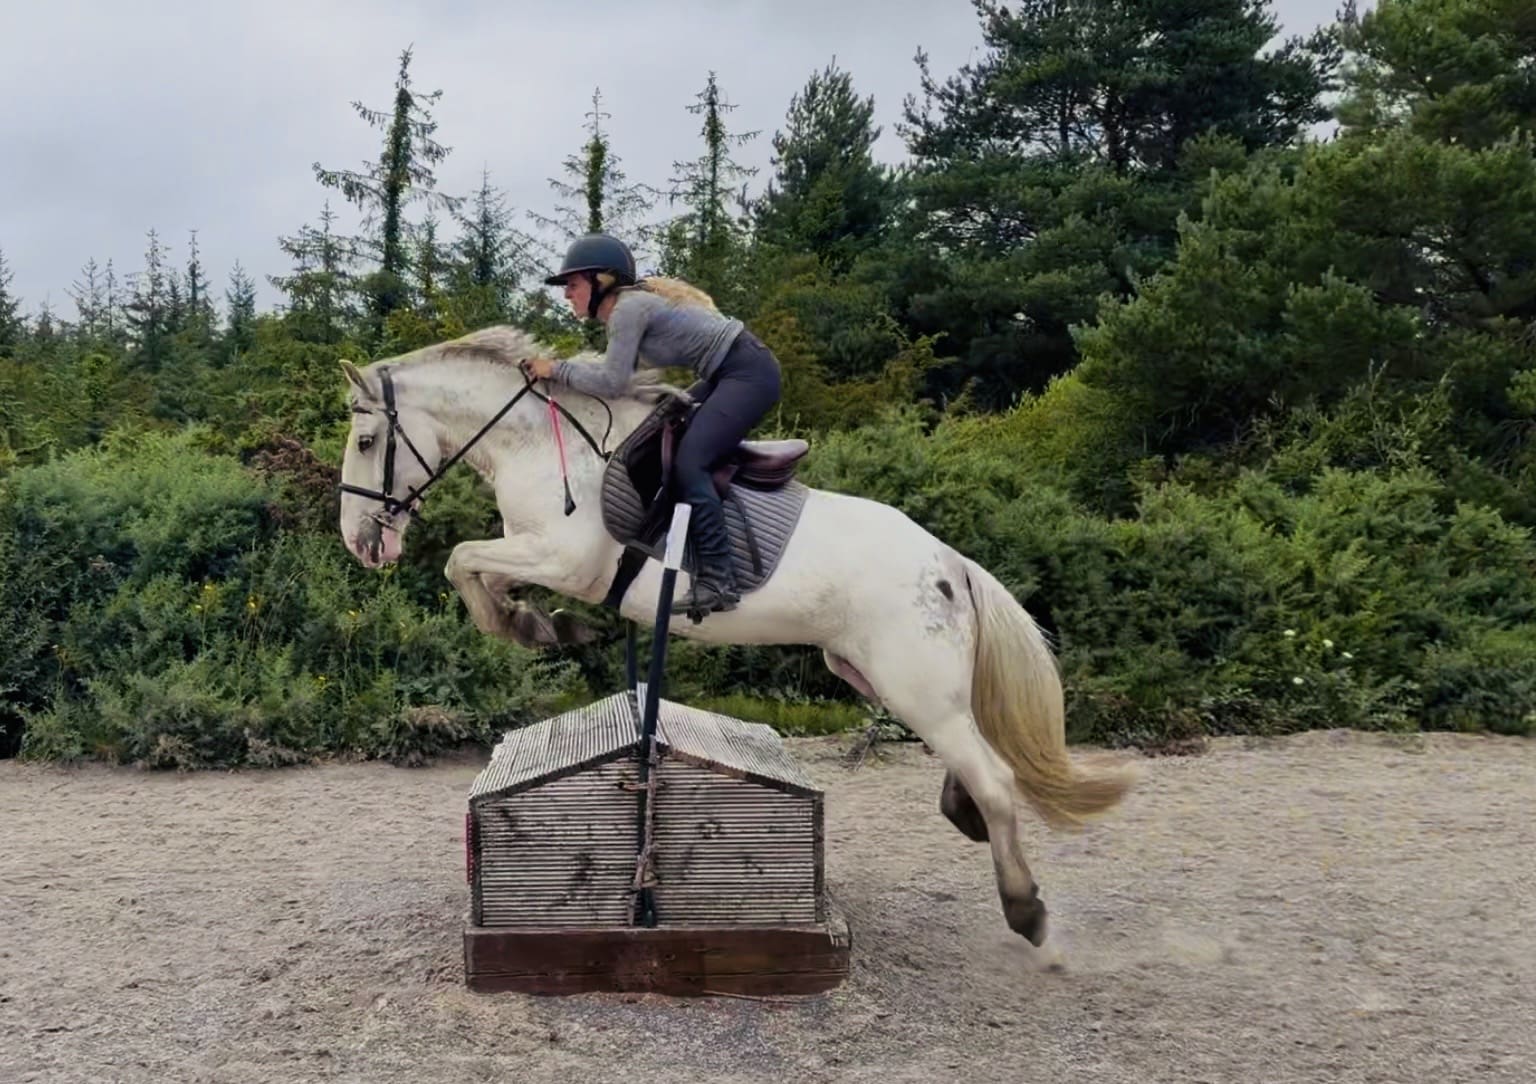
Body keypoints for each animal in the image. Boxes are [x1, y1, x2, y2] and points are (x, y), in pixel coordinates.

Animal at [334, 325, 1140, 948]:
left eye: (368, 439)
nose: (360, 543)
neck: (542, 446)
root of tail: (950, 564)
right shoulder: (537, 556)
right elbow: (474, 569)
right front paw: (538, 622)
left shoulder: (565, 559)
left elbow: (462, 559)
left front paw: (534, 624)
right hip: (873, 673)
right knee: (972, 756)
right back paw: (969, 819)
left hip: (914, 684)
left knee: (995, 778)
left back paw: (1026, 908)